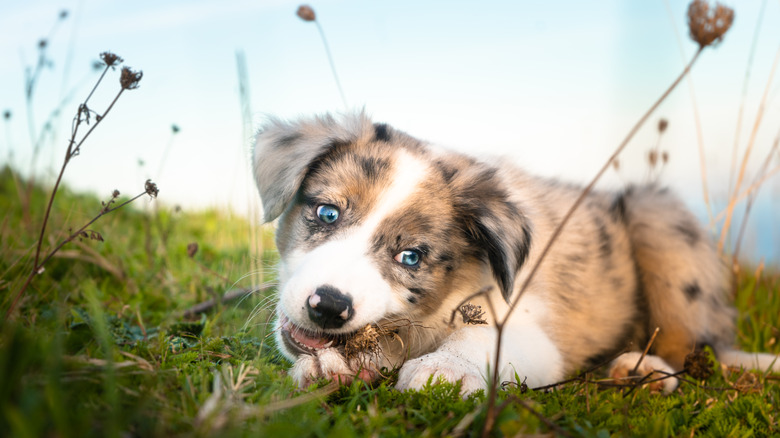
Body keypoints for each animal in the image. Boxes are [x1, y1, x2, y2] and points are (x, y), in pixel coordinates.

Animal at [253, 112, 776, 394]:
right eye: (326, 213)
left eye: (411, 258)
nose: (328, 306)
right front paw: (337, 363)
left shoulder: (530, 332)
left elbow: (479, 339)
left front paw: (444, 369)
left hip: (658, 218)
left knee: (690, 346)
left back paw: (641, 369)